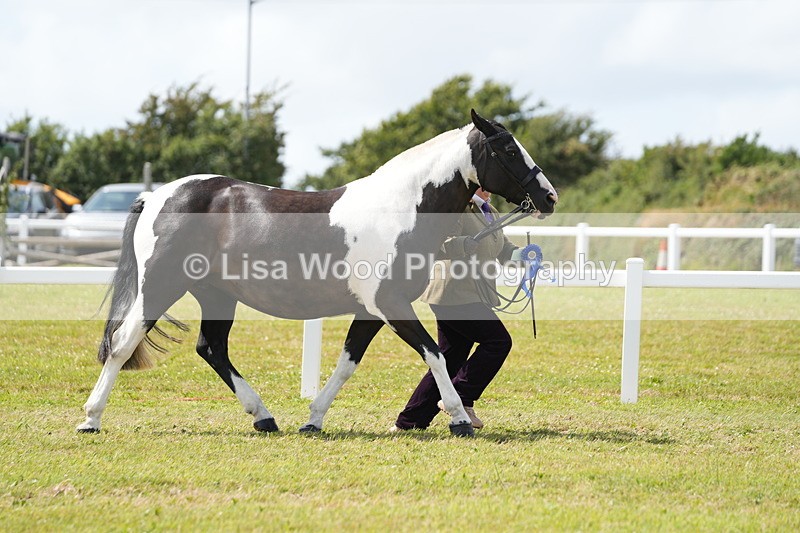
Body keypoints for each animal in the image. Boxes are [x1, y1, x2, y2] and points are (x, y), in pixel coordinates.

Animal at [76, 110, 558, 437]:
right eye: (508, 149)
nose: (549, 196)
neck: (400, 209)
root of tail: (156, 196)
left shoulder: (372, 310)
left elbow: (347, 363)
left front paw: (313, 419)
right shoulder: (391, 305)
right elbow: (435, 354)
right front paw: (459, 420)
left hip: (216, 294)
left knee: (211, 348)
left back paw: (264, 417)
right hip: (161, 286)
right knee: (124, 342)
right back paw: (91, 419)